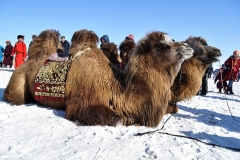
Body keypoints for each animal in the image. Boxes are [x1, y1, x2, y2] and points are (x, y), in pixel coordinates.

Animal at [4, 29, 194, 127]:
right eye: (164, 46)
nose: (189, 48)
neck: (117, 88)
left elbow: (173, 108)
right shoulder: (82, 102)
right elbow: (118, 119)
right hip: (18, 81)